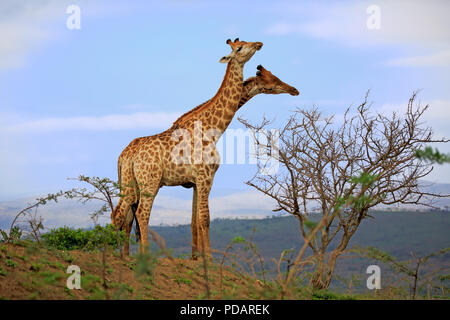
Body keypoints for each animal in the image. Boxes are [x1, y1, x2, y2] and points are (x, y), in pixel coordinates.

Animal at [114, 64, 300, 258]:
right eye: (273, 82)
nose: (294, 90)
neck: (212, 129)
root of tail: (126, 155)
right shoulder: (205, 177)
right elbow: (204, 219)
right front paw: (207, 258)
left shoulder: (195, 182)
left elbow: (194, 221)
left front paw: (196, 257)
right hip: (149, 183)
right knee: (140, 214)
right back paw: (142, 256)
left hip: (131, 184)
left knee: (123, 216)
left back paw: (124, 255)